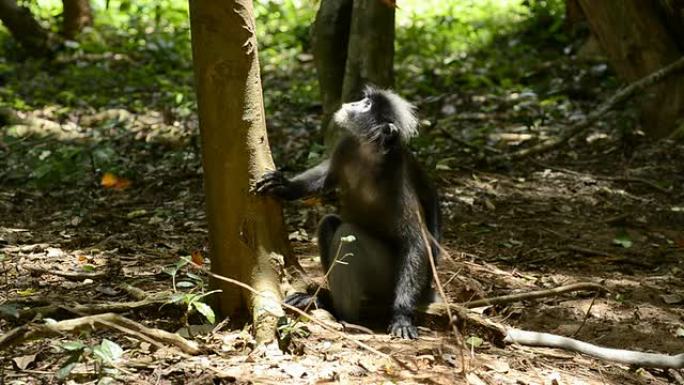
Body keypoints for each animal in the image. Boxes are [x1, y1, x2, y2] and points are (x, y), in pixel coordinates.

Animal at [258, 87, 444, 340]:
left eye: (366, 105)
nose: (353, 103)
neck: (368, 156)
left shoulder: (396, 178)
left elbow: (415, 243)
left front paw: (402, 316)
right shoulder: (347, 145)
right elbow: (327, 176)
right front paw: (286, 186)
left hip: (385, 281)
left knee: (348, 234)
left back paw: (339, 312)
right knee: (329, 223)